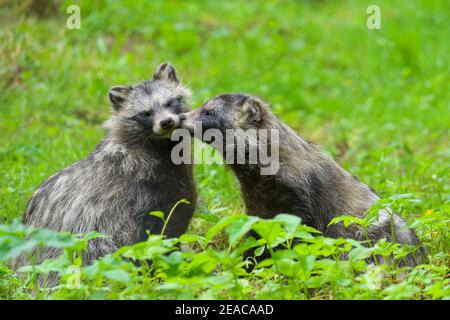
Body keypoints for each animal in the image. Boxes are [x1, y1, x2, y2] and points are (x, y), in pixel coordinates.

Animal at [13, 64, 196, 272]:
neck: (161, 147)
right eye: (145, 113)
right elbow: (152, 239)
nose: (166, 122)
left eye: (170, 102)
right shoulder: (140, 196)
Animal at [181, 94, 424, 266]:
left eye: (209, 111)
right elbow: (256, 239)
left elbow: (299, 240)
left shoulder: (300, 204)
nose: (180, 117)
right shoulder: (258, 208)